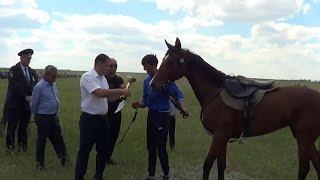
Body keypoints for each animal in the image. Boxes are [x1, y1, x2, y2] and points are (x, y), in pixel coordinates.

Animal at [151, 37, 320, 179]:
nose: (153, 84)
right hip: (301, 139)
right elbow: (221, 166)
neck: (215, 93)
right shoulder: (222, 138)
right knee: (304, 168)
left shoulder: (219, 136)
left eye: (171, 62)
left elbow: (207, 165)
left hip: (306, 139)